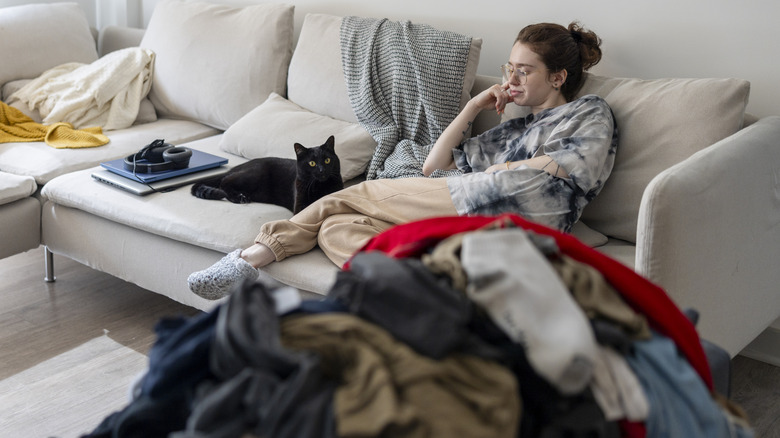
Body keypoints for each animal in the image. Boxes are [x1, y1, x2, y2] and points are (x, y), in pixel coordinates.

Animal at [190, 135, 342, 214]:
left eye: (327, 160)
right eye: (312, 163)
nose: (322, 170)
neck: (320, 187)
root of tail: (236, 167)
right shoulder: (299, 205)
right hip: (253, 174)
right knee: (225, 182)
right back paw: (240, 198)